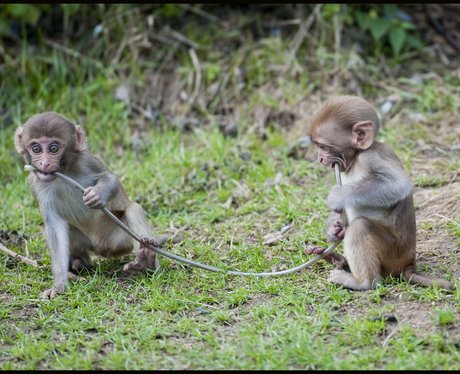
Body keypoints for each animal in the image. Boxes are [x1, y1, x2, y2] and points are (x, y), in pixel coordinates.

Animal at [15, 112, 162, 300]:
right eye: (36, 149)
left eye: (54, 148)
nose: (45, 164)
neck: (64, 172)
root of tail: (101, 247)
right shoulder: (35, 183)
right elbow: (55, 227)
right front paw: (59, 285)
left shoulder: (87, 161)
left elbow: (110, 178)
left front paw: (97, 194)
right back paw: (80, 264)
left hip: (119, 240)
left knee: (133, 209)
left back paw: (146, 262)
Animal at [306, 95, 452, 290]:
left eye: (323, 146)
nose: (320, 158)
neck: (355, 159)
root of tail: (408, 264)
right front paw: (334, 230)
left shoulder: (371, 157)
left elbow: (397, 184)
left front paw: (338, 197)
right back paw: (336, 259)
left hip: (392, 254)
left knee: (360, 227)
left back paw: (362, 282)